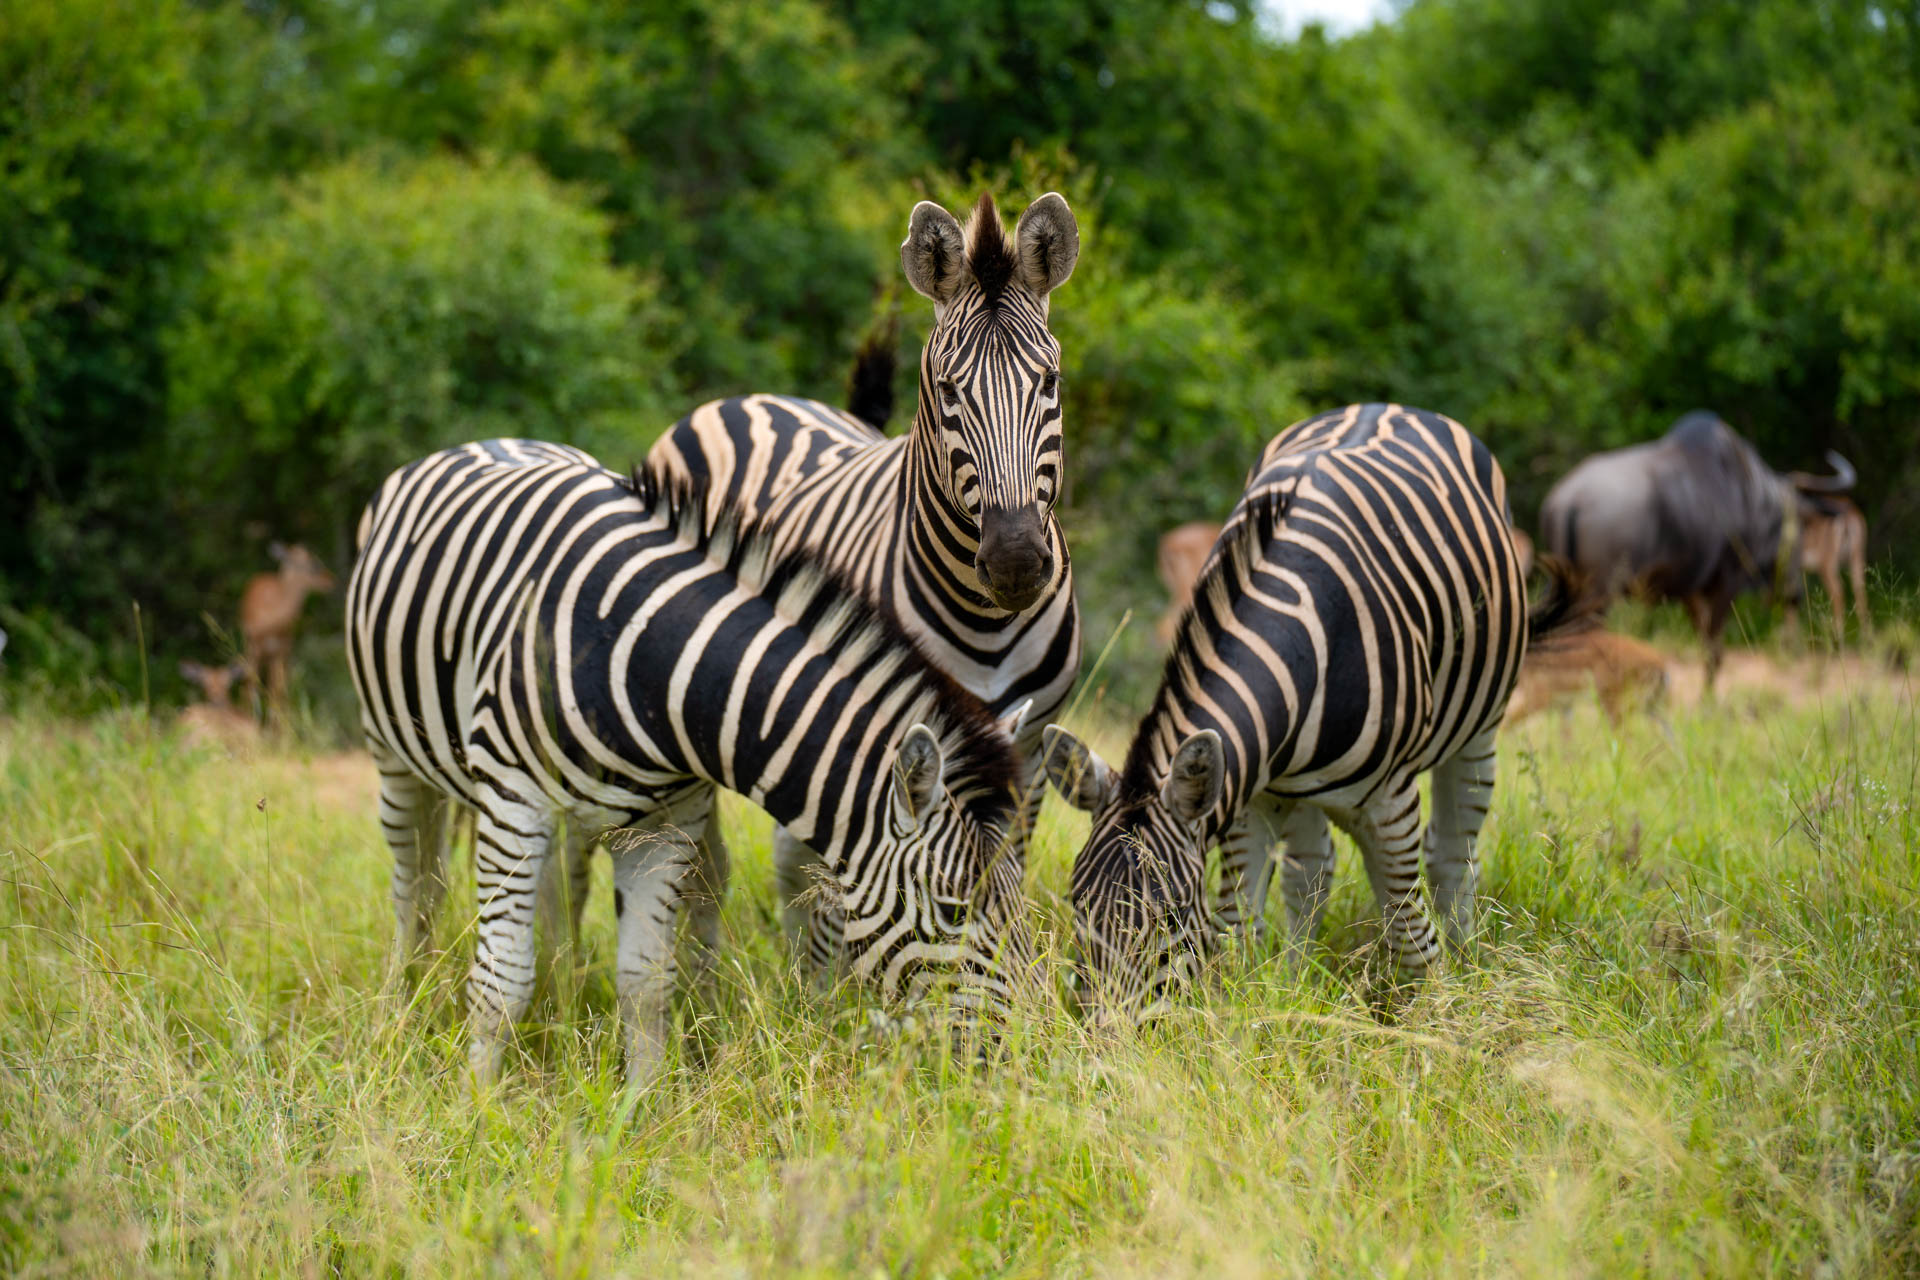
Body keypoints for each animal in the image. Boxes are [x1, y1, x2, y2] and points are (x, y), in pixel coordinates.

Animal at [345, 439, 1034, 1085]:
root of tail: (485, 442)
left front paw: (641, 1107)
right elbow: (500, 983)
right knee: (414, 884)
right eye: (954, 911)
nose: (1021, 1054)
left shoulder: (667, 825)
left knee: (554, 891)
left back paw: (562, 995)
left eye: (1018, 903)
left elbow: (647, 983)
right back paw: (405, 1001)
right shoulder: (515, 800)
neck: (652, 663)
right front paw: (482, 1103)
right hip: (394, 758)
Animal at [647, 191, 1081, 969]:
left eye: (1050, 382)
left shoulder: (1026, 749)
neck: (989, 623)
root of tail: (756, 400)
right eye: (947, 390)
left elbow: (1002, 865)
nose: (1014, 560)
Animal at [1040, 404, 1580, 1021]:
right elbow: (1236, 925)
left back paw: (1467, 964)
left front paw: (1428, 1018)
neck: (1299, 641)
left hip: (1479, 730)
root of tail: (1387, 405)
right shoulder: (1244, 791)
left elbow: (1410, 934)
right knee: (1311, 872)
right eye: (1077, 904)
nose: (1103, 1035)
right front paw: (1251, 1007)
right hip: (1293, 788)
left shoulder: (1389, 801)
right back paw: (1297, 979)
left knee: (1450, 858)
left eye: (1170, 914)